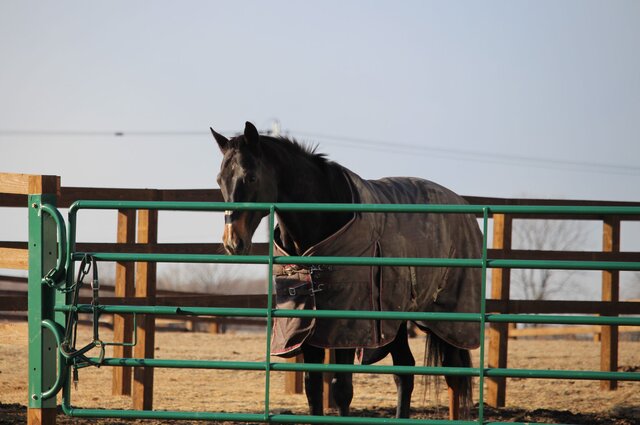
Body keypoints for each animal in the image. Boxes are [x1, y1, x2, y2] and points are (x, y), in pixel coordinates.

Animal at [211, 121, 482, 420]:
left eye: (250, 178)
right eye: (220, 180)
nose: (233, 242)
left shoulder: (349, 327)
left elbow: (342, 389)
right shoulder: (308, 327)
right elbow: (313, 388)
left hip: (449, 320)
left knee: (453, 376)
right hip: (397, 321)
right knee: (405, 372)